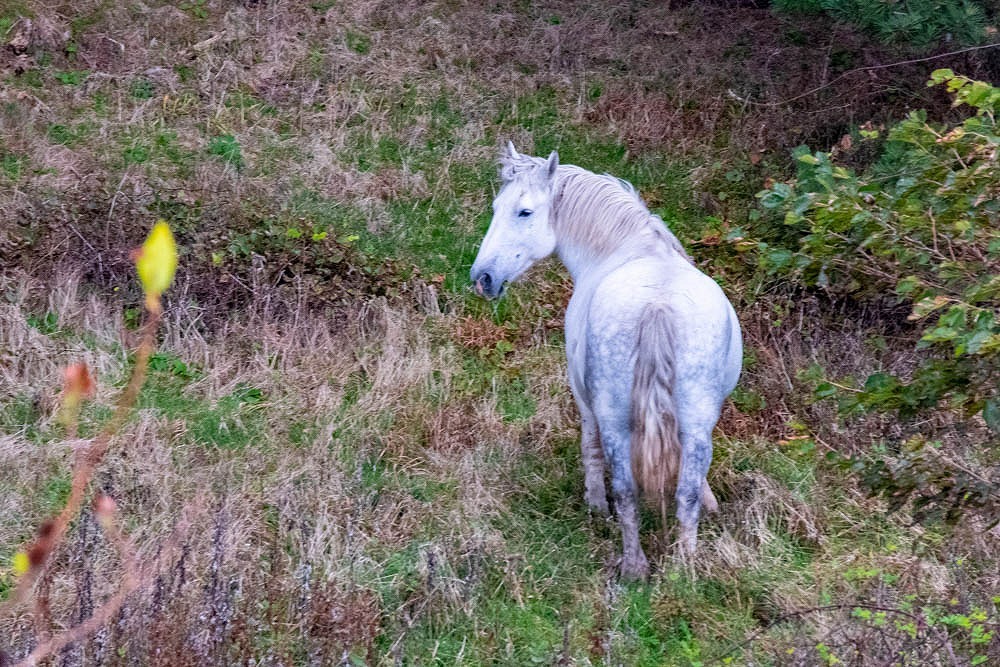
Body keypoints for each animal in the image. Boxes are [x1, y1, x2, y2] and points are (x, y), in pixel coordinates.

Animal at [470, 142, 744, 580]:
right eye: (496, 207)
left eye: (524, 212)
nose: (482, 278)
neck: (631, 247)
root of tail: (658, 305)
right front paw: (711, 502)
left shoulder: (584, 398)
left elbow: (589, 447)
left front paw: (595, 504)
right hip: (696, 416)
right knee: (683, 492)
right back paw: (684, 570)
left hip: (617, 419)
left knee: (627, 492)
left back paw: (633, 567)